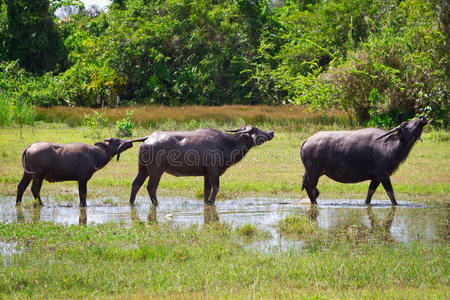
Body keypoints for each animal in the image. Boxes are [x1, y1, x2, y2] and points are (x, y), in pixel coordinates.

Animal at [15, 138, 146, 206]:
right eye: (117, 141)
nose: (130, 142)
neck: (93, 155)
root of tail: (30, 147)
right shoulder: (82, 179)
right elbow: (83, 194)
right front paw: (84, 205)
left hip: (27, 174)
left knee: (21, 186)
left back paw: (18, 203)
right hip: (38, 175)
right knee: (34, 189)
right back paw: (41, 204)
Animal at [127, 125, 274, 206]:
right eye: (255, 129)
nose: (271, 133)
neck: (227, 144)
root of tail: (147, 138)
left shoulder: (206, 174)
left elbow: (206, 190)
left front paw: (206, 202)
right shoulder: (213, 171)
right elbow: (216, 188)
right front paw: (211, 202)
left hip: (143, 168)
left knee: (136, 183)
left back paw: (131, 202)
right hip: (156, 170)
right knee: (151, 187)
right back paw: (156, 203)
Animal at [300, 116, 428, 205]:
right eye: (405, 124)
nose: (422, 117)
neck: (389, 148)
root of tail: (307, 141)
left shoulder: (376, 178)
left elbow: (369, 195)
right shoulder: (383, 175)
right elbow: (391, 194)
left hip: (313, 173)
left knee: (311, 187)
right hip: (314, 173)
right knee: (310, 187)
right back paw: (315, 203)